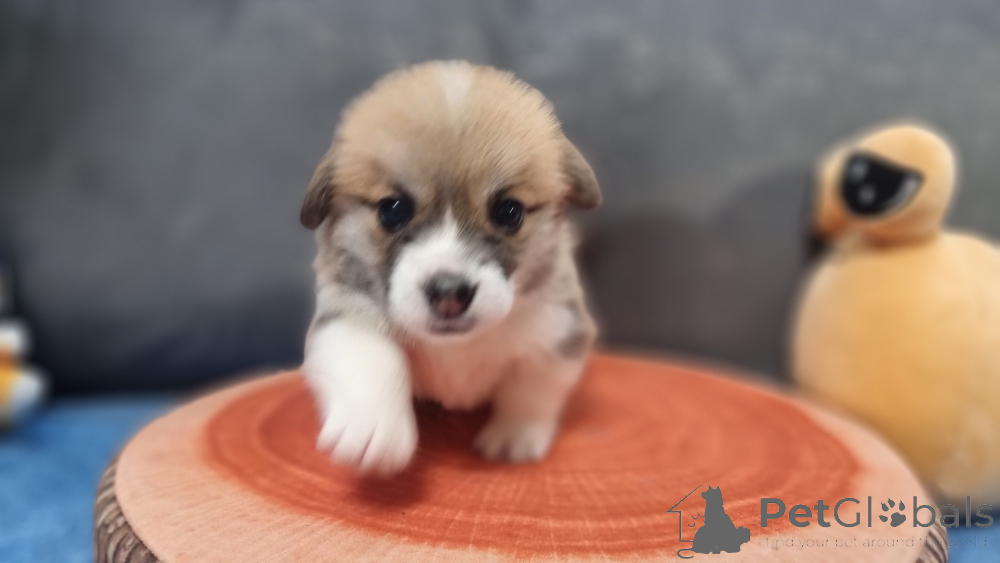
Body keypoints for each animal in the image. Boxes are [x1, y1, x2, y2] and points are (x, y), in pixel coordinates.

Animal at [299, 60, 601, 476]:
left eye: (509, 211)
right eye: (393, 209)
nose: (449, 294)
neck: (456, 346)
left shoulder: (558, 334)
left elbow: (530, 391)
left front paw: (513, 437)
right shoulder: (344, 312)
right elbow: (373, 354)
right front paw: (374, 428)